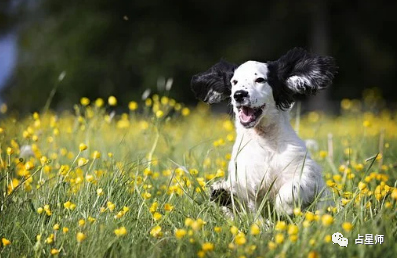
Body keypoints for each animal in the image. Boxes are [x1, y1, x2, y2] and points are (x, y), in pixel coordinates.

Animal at [190, 46, 336, 216]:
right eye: (234, 82)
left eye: (260, 80)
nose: (239, 94)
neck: (265, 141)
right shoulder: (245, 178)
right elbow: (240, 201)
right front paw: (224, 194)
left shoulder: (306, 172)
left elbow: (292, 188)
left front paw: (284, 207)